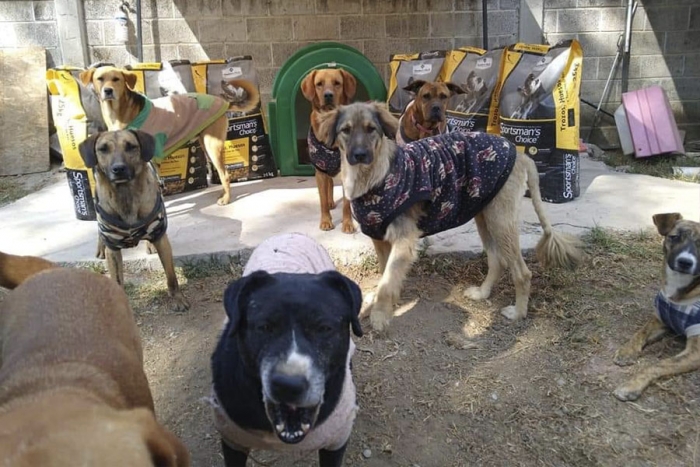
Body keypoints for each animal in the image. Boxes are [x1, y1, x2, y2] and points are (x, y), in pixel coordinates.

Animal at [209, 234, 360, 467]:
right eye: (264, 327)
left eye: (324, 328)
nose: (288, 385)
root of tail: (288, 234)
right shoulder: (232, 439)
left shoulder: (337, 438)